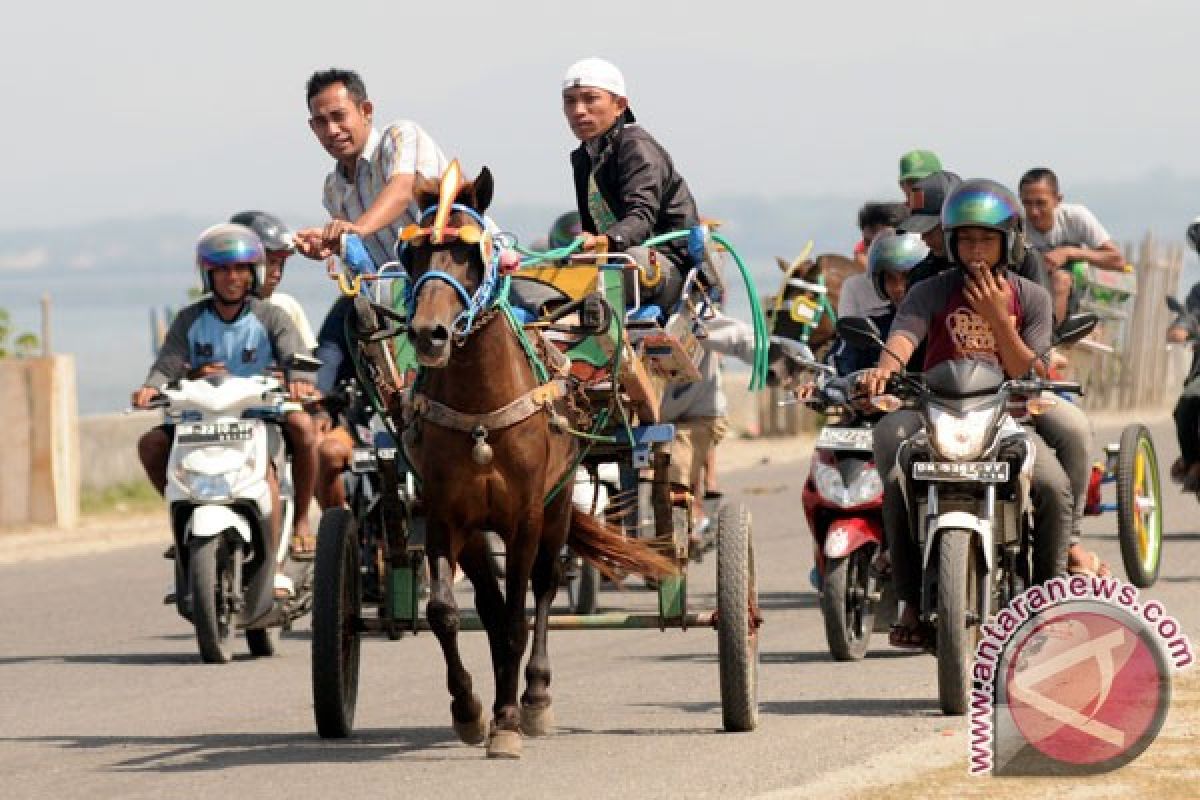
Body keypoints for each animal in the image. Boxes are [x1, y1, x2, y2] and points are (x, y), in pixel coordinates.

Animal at [398, 163, 672, 758]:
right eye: (413, 255)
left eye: (469, 252)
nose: (428, 334)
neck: (482, 413)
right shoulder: (445, 515)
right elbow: (448, 612)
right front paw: (469, 708)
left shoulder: (523, 515)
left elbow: (518, 618)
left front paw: (507, 720)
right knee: (489, 604)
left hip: (559, 502)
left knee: (543, 589)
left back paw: (535, 696)